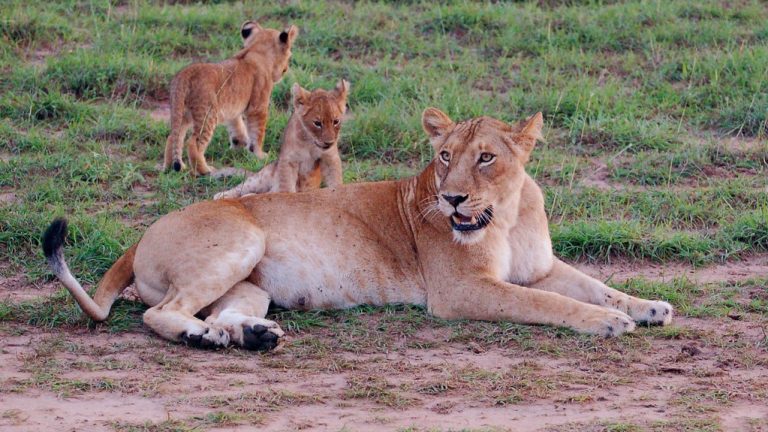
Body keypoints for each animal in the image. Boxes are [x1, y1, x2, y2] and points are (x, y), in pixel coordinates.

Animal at [44, 109, 673, 351]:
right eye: (445, 157)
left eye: (487, 158)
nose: (452, 197)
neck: (509, 213)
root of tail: (141, 234)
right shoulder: (460, 292)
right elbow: (549, 304)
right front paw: (608, 323)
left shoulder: (539, 267)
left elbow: (595, 285)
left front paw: (648, 307)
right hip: (241, 240)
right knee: (158, 312)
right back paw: (204, 338)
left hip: (251, 284)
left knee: (219, 312)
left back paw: (251, 336)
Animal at [162, 21, 299, 176]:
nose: (285, 69)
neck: (255, 50)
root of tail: (184, 74)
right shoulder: (258, 106)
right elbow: (258, 132)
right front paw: (259, 155)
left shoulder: (233, 109)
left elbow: (237, 126)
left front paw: (240, 145)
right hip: (208, 114)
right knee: (193, 143)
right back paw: (205, 171)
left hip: (182, 114)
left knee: (173, 136)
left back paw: (171, 168)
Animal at [213, 79, 349, 199]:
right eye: (317, 123)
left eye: (336, 121)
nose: (329, 142)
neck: (310, 142)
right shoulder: (288, 160)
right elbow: (286, 187)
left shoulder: (329, 158)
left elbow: (335, 180)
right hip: (262, 178)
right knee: (243, 187)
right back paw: (222, 195)